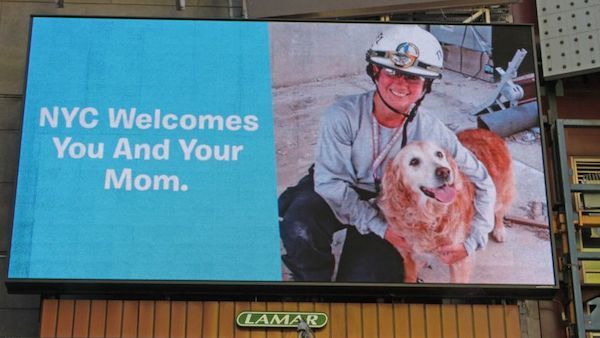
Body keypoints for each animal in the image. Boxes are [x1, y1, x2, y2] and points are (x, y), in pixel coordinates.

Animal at [382, 129, 512, 282]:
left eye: (439, 154)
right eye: (413, 161)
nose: (444, 172)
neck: (429, 217)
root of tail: (487, 131)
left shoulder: (459, 259)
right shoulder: (408, 255)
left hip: (500, 194)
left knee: (498, 212)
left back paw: (499, 230)